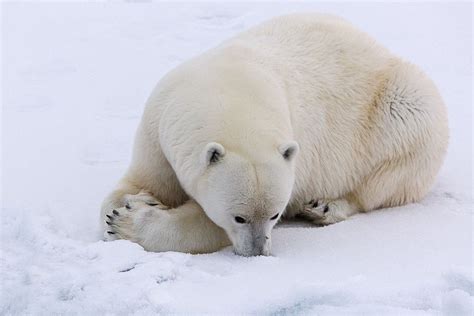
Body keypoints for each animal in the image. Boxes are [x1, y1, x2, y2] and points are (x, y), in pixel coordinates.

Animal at [100, 14, 448, 256]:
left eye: (274, 215)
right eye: (240, 217)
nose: (258, 251)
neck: (230, 89)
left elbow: (206, 224)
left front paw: (127, 222)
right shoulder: (158, 125)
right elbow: (141, 181)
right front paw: (133, 203)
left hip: (402, 110)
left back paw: (323, 207)